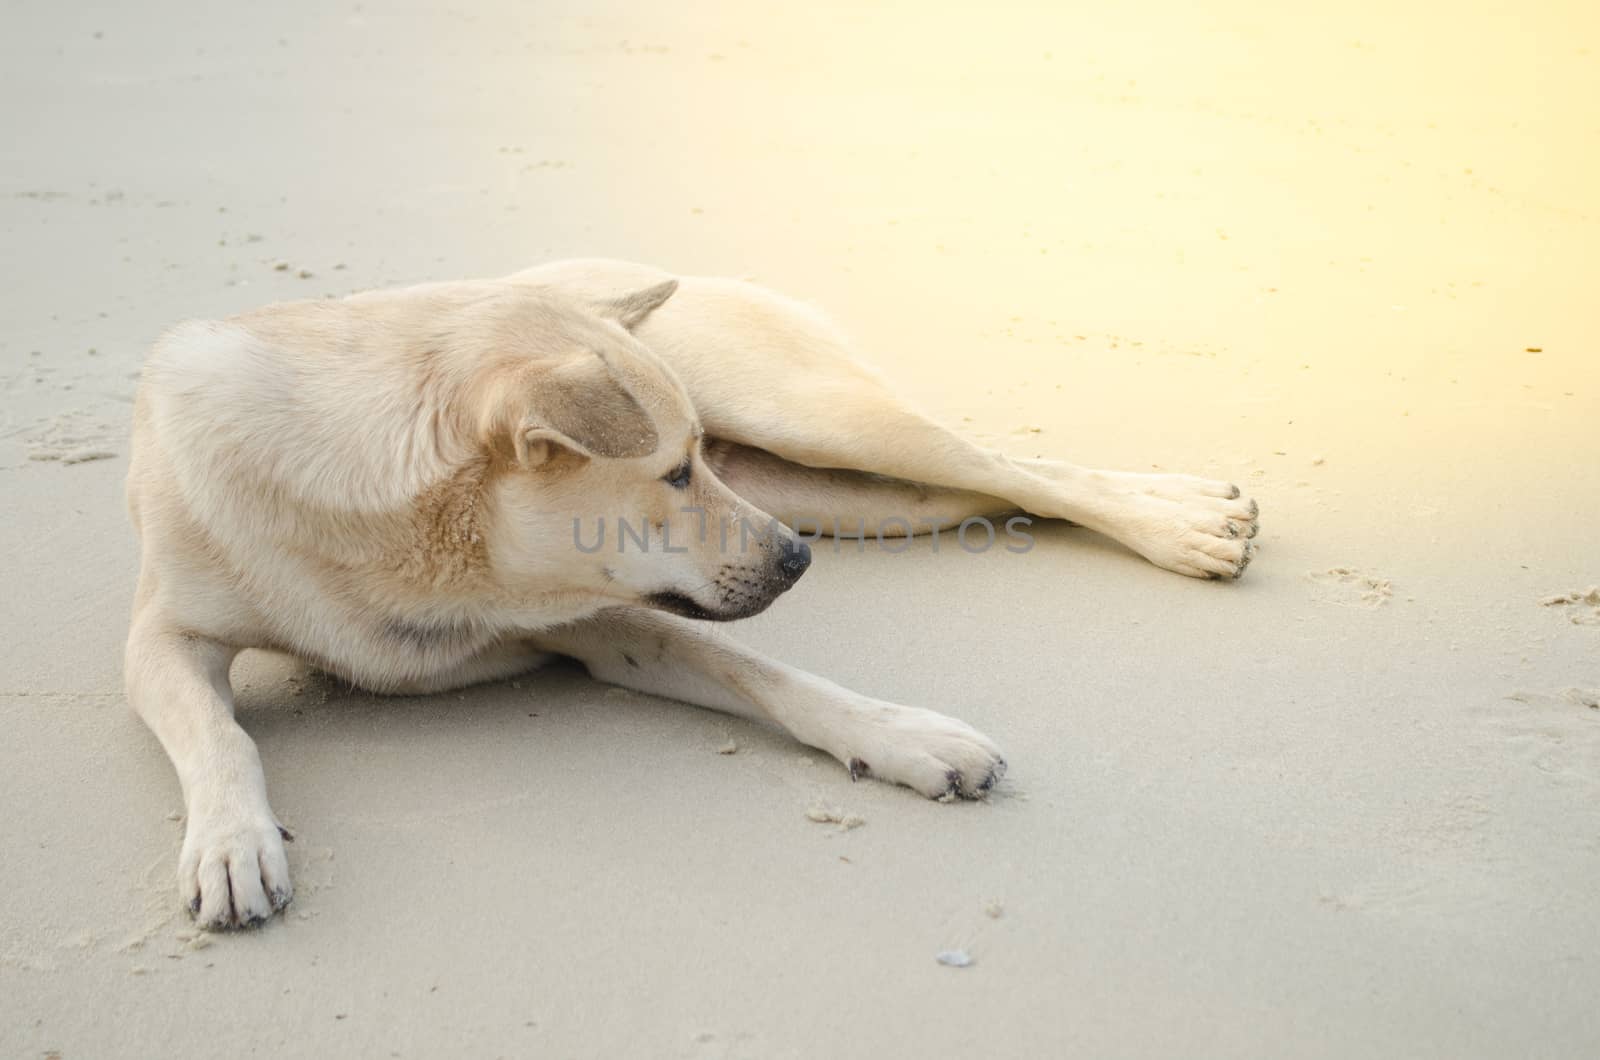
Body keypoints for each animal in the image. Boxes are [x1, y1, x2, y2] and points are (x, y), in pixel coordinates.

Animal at [124, 259, 1254, 928]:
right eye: (673, 473)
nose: (797, 563)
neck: (417, 542)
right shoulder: (158, 638)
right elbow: (220, 733)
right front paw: (231, 840)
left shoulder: (615, 619)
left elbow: (765, 669)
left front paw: (899, 735)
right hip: (846, 498)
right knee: (990, 489)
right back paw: (1190, 511)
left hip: (818, 429)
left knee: (1011, 467)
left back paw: (1185, 523)